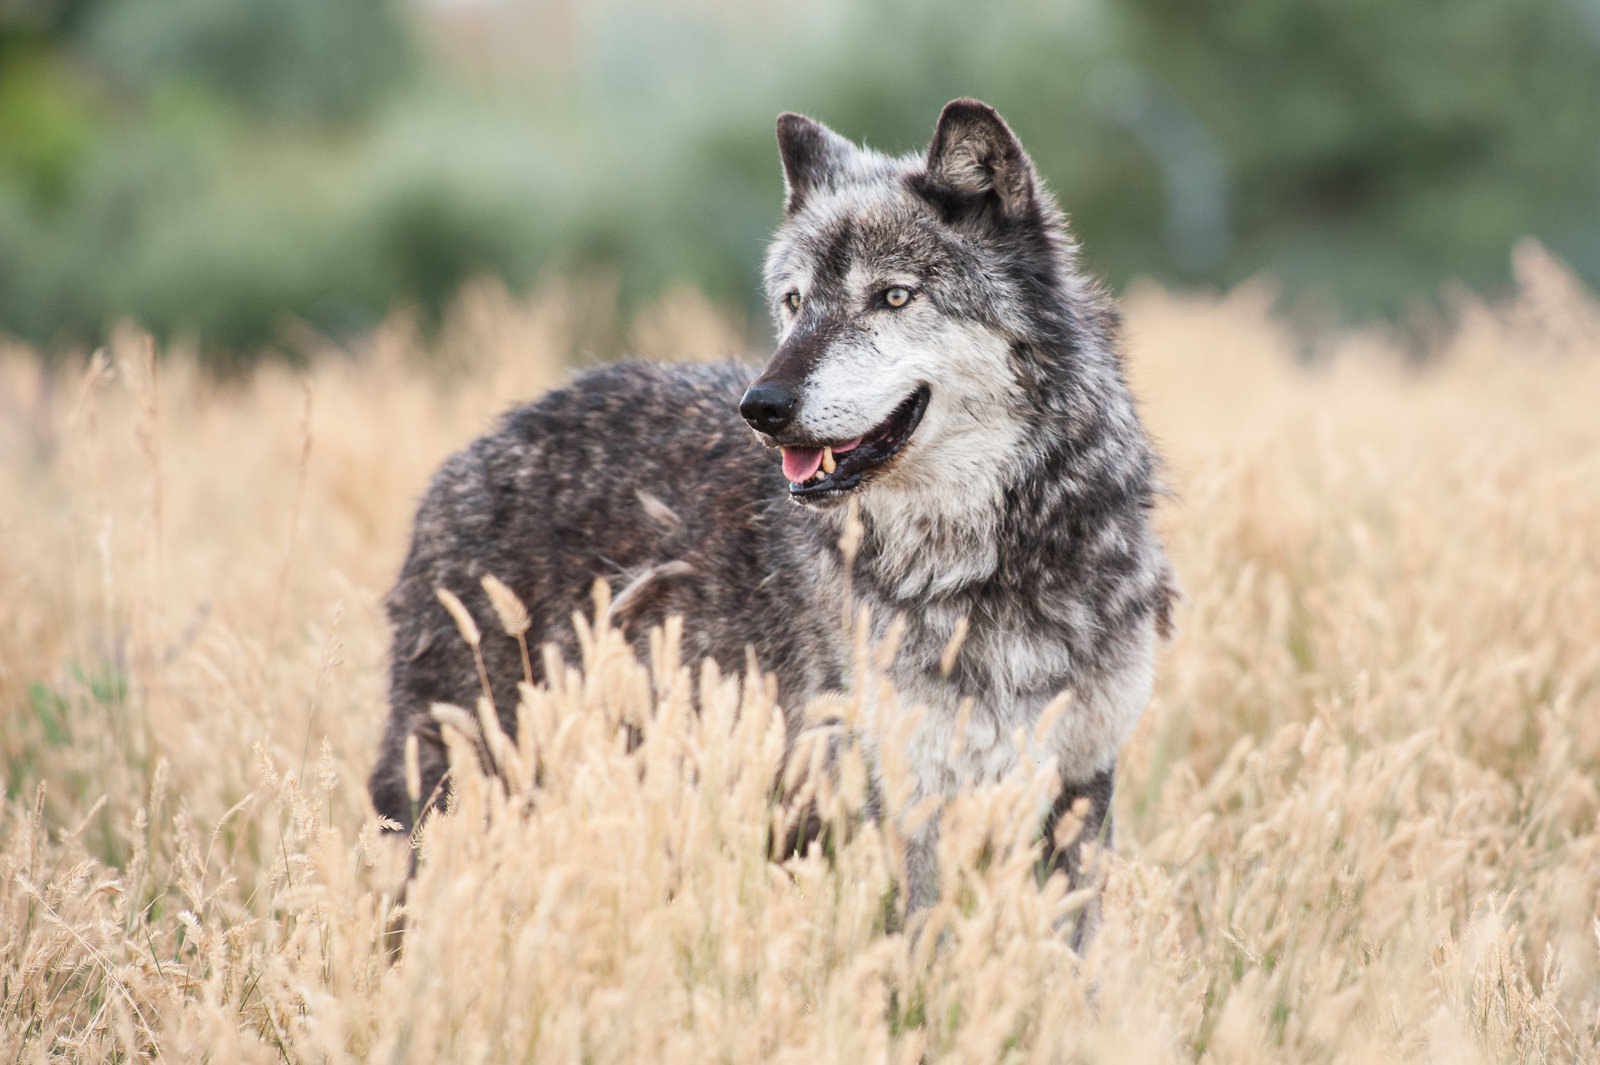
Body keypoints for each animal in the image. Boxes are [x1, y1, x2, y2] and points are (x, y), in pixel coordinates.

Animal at [369, 99, 1176, 932]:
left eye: (893, 297)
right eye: (794, 303)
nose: (761, 406)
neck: (983, 561)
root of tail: (471, 453)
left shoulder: (1079, 786)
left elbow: (1067, 952)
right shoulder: (909, 800)